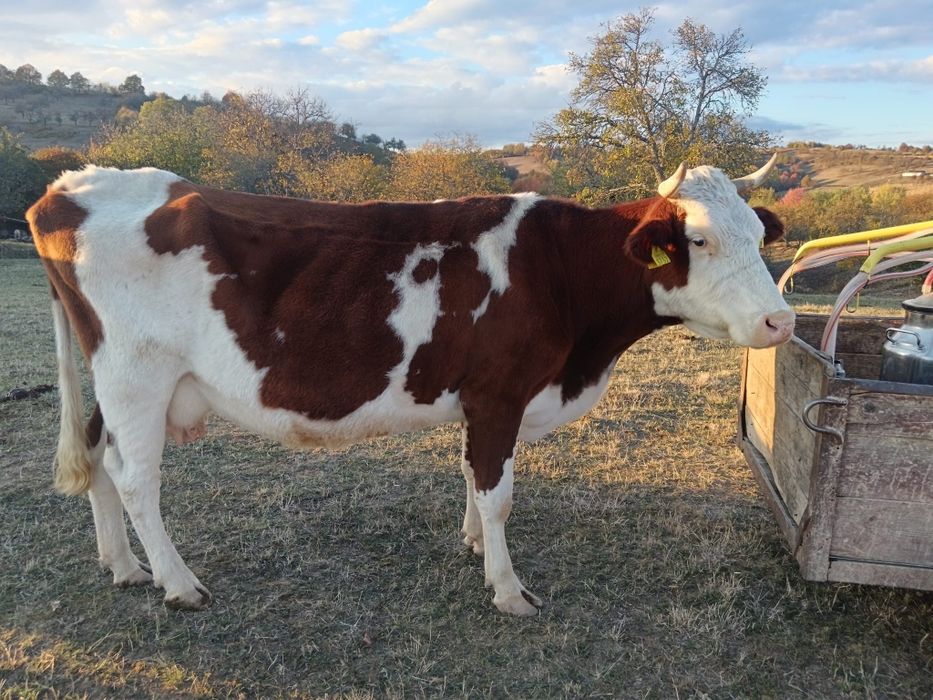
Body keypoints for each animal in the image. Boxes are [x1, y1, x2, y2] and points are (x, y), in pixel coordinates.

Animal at [27, 156, 793, 616]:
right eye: (698, 241)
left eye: (760, 236)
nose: (780, 320)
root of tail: (73, 184)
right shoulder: (499, 392)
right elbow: (498, 492)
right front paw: (508, 589)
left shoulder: (482, 401)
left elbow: (473, 478)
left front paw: (475, 546)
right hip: (137, 374)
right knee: (136, 478)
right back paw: (178, 584)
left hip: (113, 379)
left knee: (97, 456)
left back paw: (125, 566)